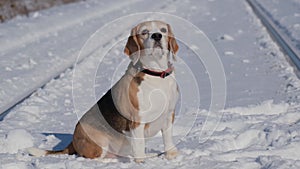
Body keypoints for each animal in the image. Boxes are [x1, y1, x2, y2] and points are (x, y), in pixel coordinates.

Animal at [28, 20, 178, 163]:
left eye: (163, 30)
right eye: (144, 32)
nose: (157, 36)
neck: (155, 74)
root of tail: (73, 140)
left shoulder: (168, 114)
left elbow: (168, 138)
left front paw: (171, 155)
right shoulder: (136, 122)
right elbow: (139, 145)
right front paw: (141, 162)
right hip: (101, 143)